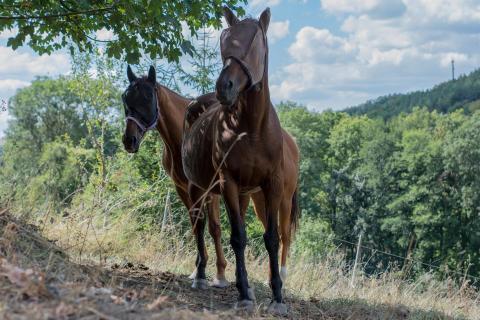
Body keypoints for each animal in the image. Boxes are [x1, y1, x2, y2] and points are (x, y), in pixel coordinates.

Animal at [182, 6, 298, 314]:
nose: (225, 86)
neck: (252, 129)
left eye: (254, 44)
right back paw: (201, 276)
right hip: (198, 188)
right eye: (225, 41)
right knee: (199, 225)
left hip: (248, 193)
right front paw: (244, 292)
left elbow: (271, 238)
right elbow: (238, 237)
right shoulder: (228, 184)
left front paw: (277, 296)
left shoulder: (272, 185)